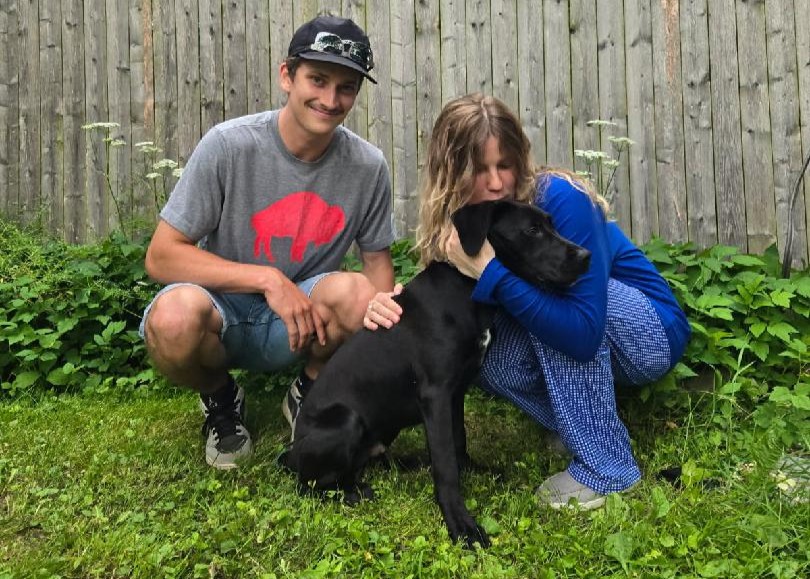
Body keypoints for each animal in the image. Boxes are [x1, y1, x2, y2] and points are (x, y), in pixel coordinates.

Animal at [279, 199, 591, 548]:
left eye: (551, 224)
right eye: (532, 230)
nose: (586, 256)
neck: (465, 289)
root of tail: (290, 456)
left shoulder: (455, 393)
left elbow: (457, 443)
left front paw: (472, 470)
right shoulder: (436, 395)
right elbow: (445, 465)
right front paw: (461, 524)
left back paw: (408, 463)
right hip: (345, 422)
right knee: (309, 485)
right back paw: (352, 493)